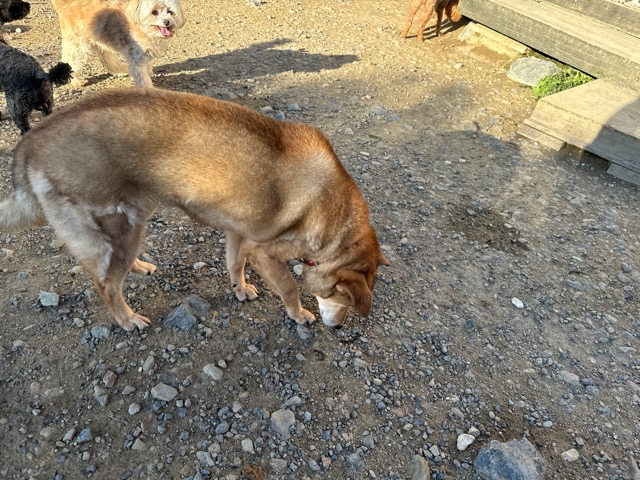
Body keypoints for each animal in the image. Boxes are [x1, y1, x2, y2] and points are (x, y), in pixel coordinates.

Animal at [0, 88, 389, 331]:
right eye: (342, 298)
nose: (339, 328)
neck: (336, 214)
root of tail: (28, 147)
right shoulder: (265, 254)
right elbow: (290, 288)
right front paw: (299, 314)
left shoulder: (238, 235)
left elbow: (234, 264)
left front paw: (240, 289)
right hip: (120, 226)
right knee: (106, 283)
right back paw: (127, 319)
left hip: (132, 224)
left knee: (112, 269)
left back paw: (139, 267)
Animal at [51, 0, 185, 88]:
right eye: (154, 12)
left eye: (170, 12)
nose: (167, 21)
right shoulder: (136, 59)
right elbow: (142, 78)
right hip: (77, 43)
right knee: (71, 60)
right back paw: (75, 80)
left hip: (100, 38)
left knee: (107, 59)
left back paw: (122, 70)